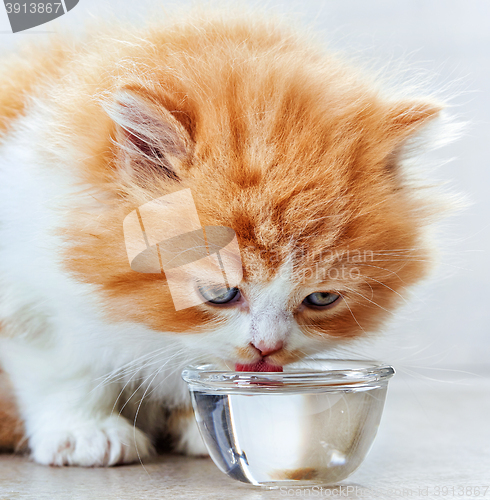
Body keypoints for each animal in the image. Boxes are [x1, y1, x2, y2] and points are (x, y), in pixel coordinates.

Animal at [0, 10, 444, 464]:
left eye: (322, 298)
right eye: (219, 293)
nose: (266, 347)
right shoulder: (27, 291)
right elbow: (64, 367)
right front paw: (85, 432)